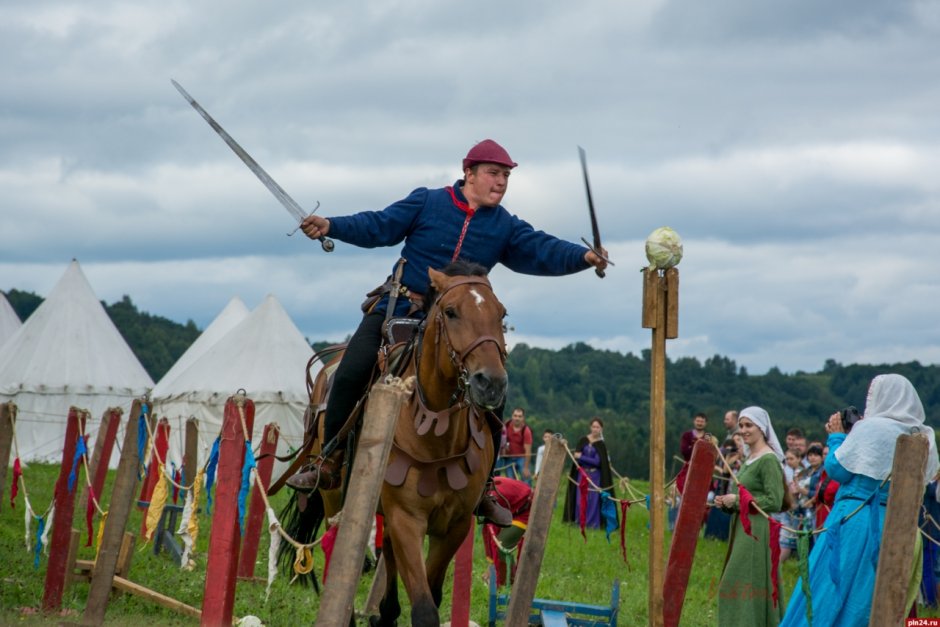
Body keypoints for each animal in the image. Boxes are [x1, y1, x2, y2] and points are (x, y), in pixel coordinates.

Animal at [282, 262, 510, 624]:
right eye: (451, 312)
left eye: (501, 314)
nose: (491, 383)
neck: (435, 434)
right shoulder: (407, 518)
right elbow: (424, 606)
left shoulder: (455, 526)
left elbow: (432, 590)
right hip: (334, 496)